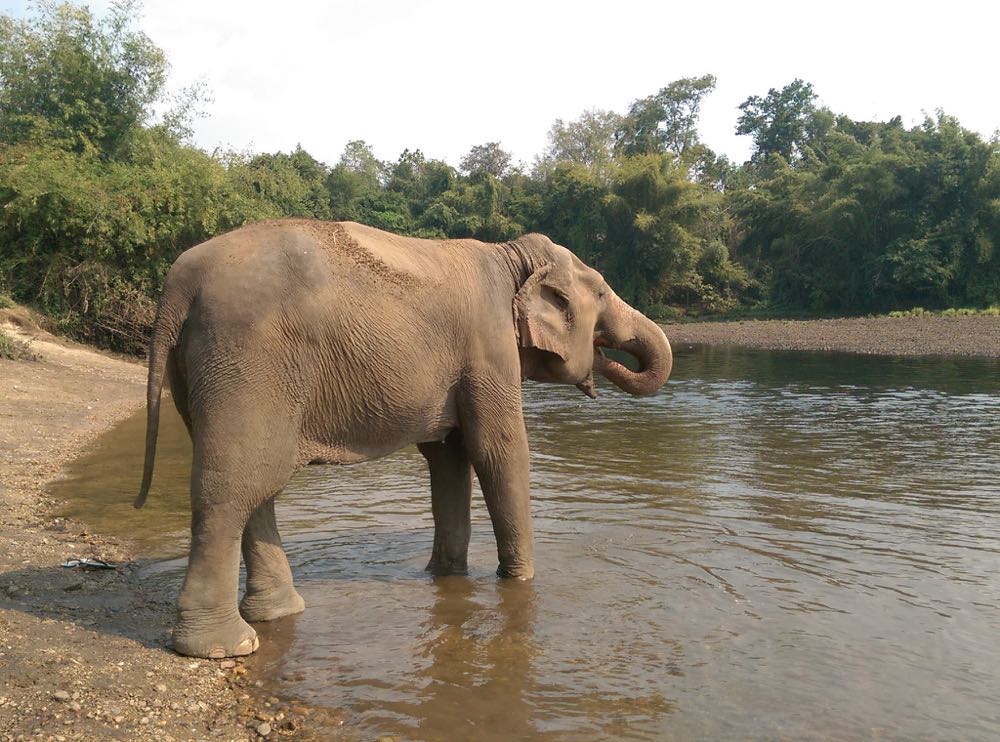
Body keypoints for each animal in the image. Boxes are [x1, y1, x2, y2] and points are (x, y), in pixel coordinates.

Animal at [135, 218, 672, 660]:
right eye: (600, 294)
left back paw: (279, 614)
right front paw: (520, 583)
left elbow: (449, 457)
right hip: (246, 360)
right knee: (232, 489)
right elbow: (498, 450)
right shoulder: (489, 346)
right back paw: (225, 646)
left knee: (256, 488)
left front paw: (447, 575)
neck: (511, 256)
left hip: (201, 370)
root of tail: (179, 282)